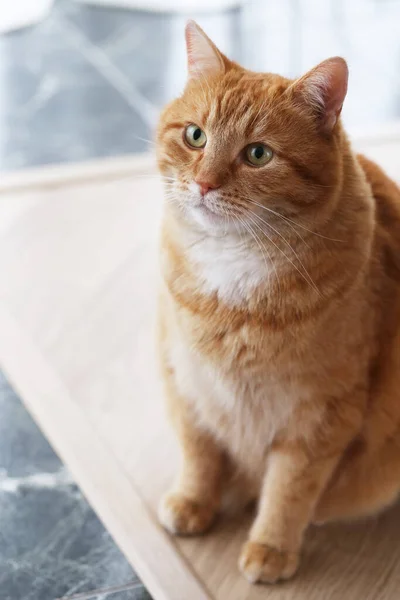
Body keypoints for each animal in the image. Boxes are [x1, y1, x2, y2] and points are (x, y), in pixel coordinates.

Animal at [155, 21, 400, 584]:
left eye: (258, 154)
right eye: (195, 136)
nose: (204, 184)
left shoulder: (320, 416)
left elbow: (289, 489)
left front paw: (270, 547)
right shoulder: (187, 383)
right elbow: (198, 453)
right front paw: (193, 502)